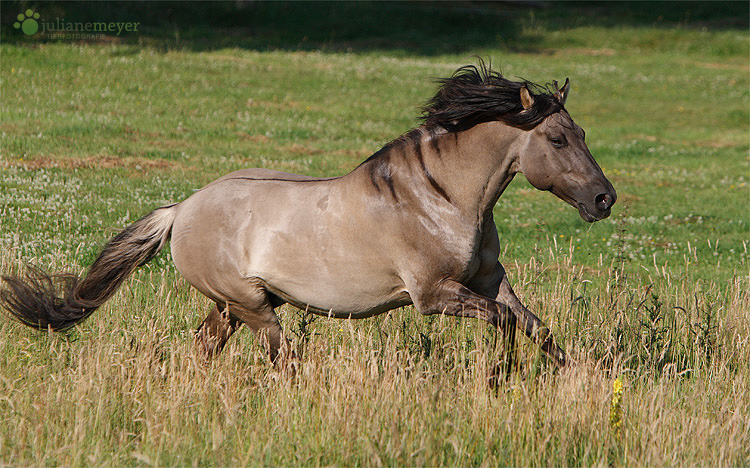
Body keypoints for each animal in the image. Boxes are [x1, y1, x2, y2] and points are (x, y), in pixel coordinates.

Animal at [1, 62, 616, 372]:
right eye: (558, 139)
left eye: (583, 132)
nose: (604, 199)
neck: (442, 198)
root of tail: (180, 211)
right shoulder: (433, 295)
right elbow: (507, 323)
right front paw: (500, 376)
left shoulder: (489, 280)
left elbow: (534, 326)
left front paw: (576, 378)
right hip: (252, 308)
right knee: (283, 361)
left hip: (236, 306)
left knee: (204, 349)